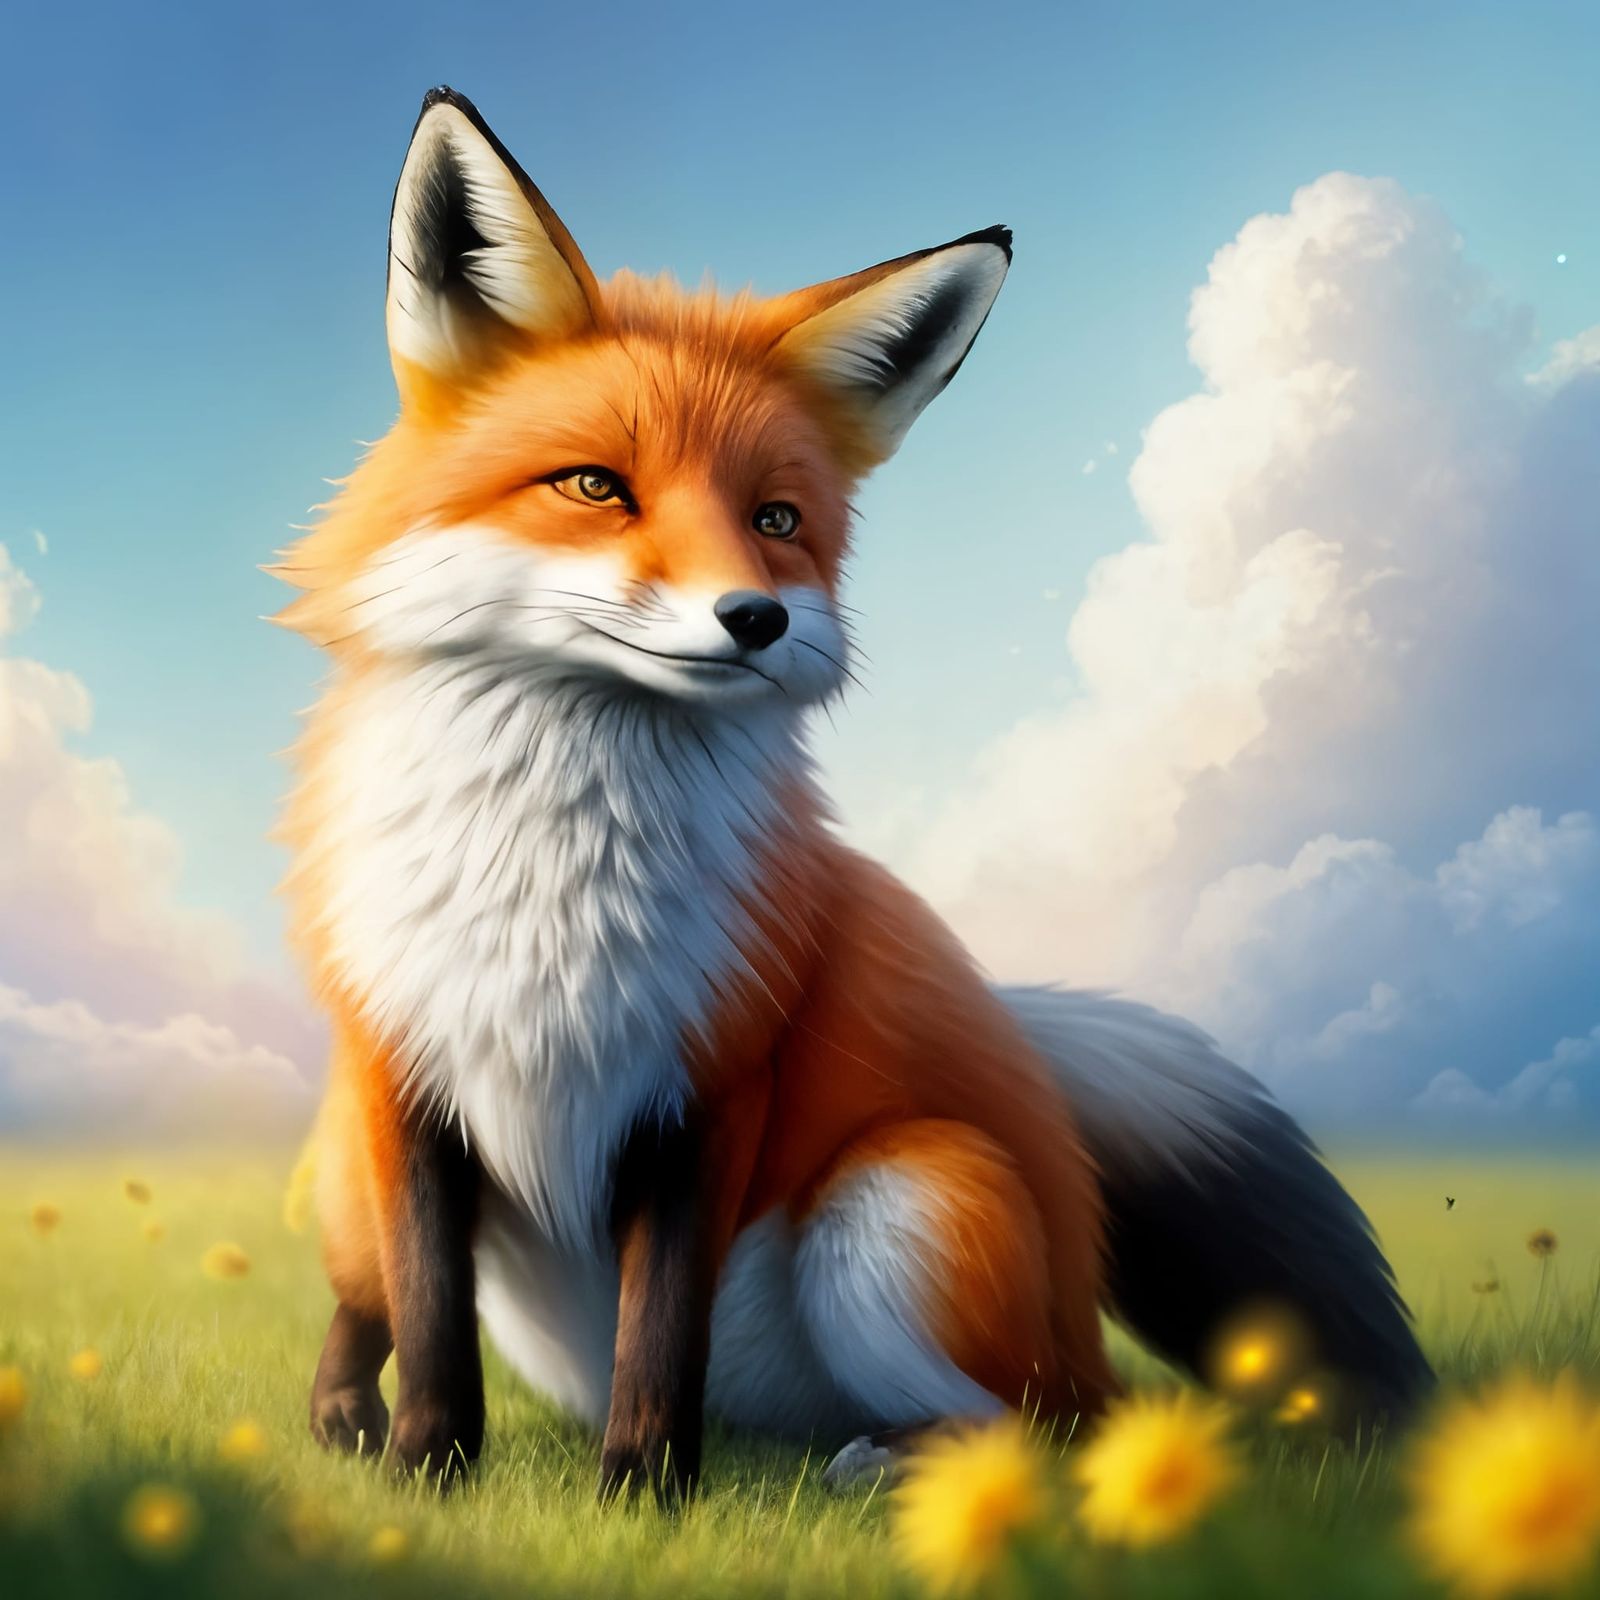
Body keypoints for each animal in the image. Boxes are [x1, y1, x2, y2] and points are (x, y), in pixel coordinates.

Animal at [276, 86, 1432, 1498]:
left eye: (774, 520)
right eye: (596, 485)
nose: (755, 619)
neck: (548, 887)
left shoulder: (715, 1082)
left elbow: (659, 1326)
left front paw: (642, 1489)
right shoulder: (406, 1082)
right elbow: (431, 1312)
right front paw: (427, 1470)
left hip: (897, 1199)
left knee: (1052, 1423)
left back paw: (890, 1467)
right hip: (352, 1165)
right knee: (362, 1295)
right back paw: (345, 1416)